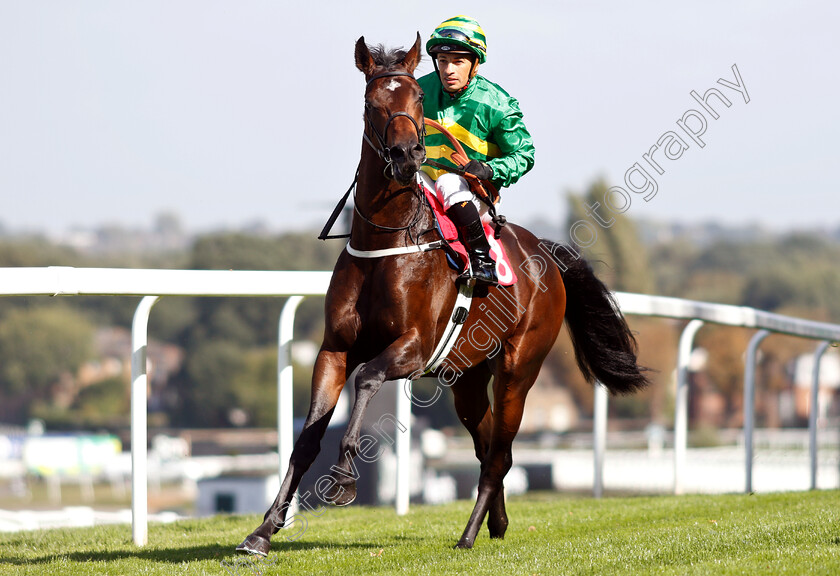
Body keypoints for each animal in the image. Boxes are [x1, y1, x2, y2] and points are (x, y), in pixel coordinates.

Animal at [236, 33, 648, 556]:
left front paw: (345, 478)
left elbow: (367, 378)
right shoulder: (334, 349)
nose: (408, 156)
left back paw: (470, 534)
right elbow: (307, 438)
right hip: (468, 376)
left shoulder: (413, 348)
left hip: (518, 368)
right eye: (371, 102)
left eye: (416, 98)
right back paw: (498, 522)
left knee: (499, 454)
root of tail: (547, 254)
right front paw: (262, 531)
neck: (388, 242)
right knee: (488, 443)